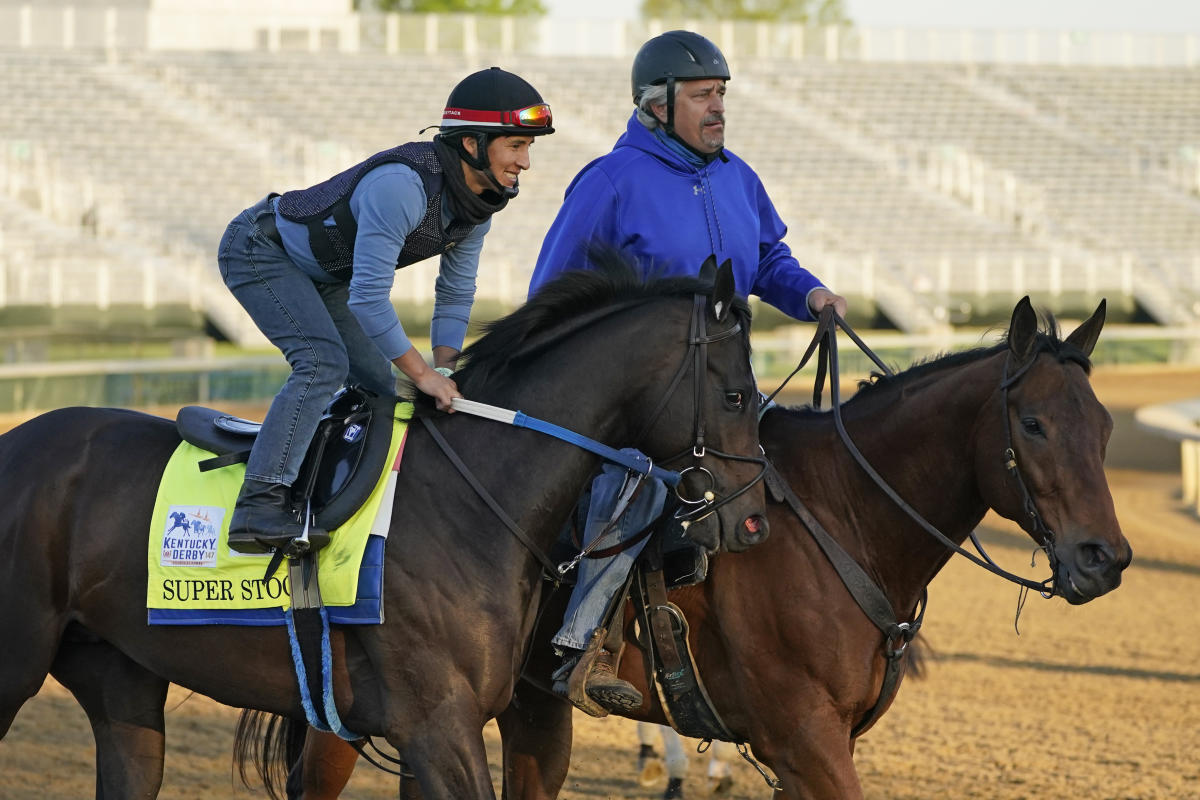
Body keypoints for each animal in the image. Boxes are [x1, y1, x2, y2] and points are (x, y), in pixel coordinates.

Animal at [0, 260, 768, 796]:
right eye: (736, 395)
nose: (752, 520)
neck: (471, 492)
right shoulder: (437, 723)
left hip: (119, 679)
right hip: (18, 662)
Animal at [248, 297, 1128, 796]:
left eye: (1104, 425)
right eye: (1034, 424)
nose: (1105, 558)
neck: (838, 520)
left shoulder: (815, 746)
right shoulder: (806, 741)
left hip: (523, 711)